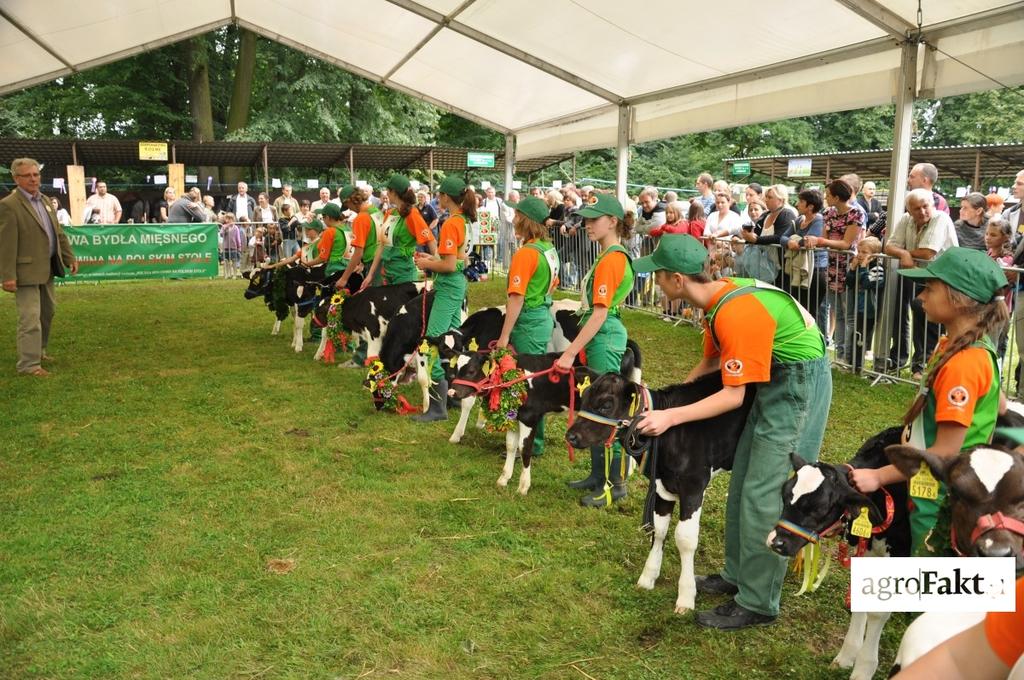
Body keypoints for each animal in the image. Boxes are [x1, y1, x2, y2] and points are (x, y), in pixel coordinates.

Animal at [565, 372, 757, 614]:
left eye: (606, 404)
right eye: (585, 396)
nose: (571, 436)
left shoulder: (693, 486)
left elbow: (685, 539)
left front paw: (686, 597)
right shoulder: (661, 486)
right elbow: (658, 530)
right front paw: (647, 578)